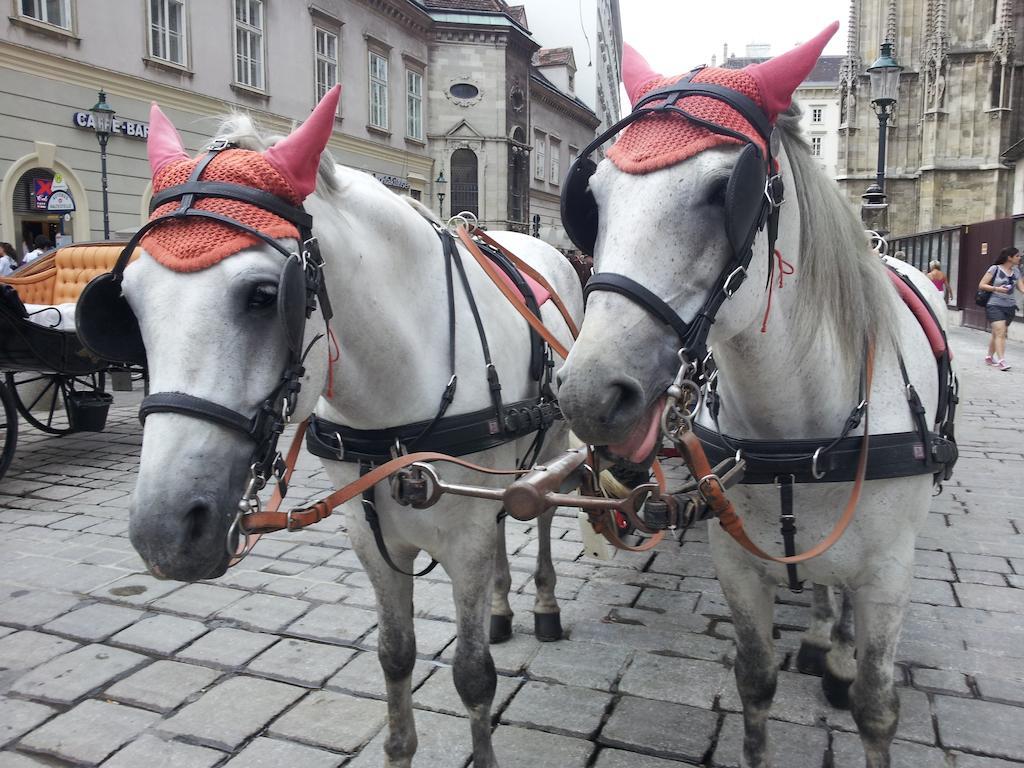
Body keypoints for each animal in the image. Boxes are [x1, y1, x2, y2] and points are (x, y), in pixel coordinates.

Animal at [107, 90, 585, 768]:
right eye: (129, 299)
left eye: (264, 295)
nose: (164, 533)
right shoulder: (369, 536)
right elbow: (395, 656)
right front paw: (399, 747)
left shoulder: (462, 537)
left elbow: (472, 676)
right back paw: (500, 607)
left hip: (556, 443)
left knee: (540, 513)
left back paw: (543, 605)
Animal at [557, 30, 954, 768]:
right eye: (592, 197)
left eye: (725, 191)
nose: (590, 395)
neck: (797, 432)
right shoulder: (737, 564)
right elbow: (755, 681)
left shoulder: (890, 574)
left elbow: (876, 707)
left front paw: (853, 673)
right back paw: (823, 637)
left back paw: (838, 650)